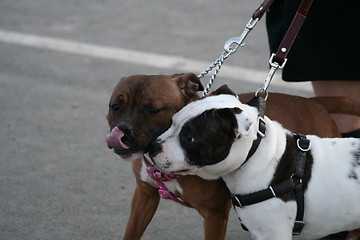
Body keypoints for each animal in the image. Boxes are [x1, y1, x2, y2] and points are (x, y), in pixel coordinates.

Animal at [106, 73, 360, 240]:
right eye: (115, 107)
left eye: (153, 110)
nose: (122, 131)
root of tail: (313, 102)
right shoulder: (144, 196)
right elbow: (131, 232)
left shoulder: (215, 216)